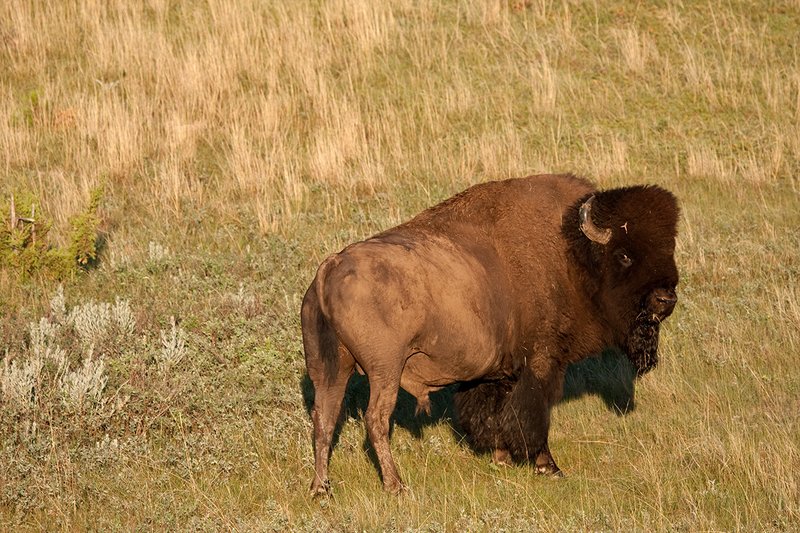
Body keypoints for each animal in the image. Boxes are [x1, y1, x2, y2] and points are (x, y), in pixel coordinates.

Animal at [301, 173, 679, 495]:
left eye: (669, 249)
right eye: (625, 255)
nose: (666, 299)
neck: (572, 255)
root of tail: (329, 269)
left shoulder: (497, 374)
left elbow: (494, 414)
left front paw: (501, 460)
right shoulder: (542, 363)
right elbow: (532, 415)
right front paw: (549, 468)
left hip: (330, 370)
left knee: (324, 420)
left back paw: (321, 489)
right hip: (385, 370)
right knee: (375, 420)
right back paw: (396, 486)